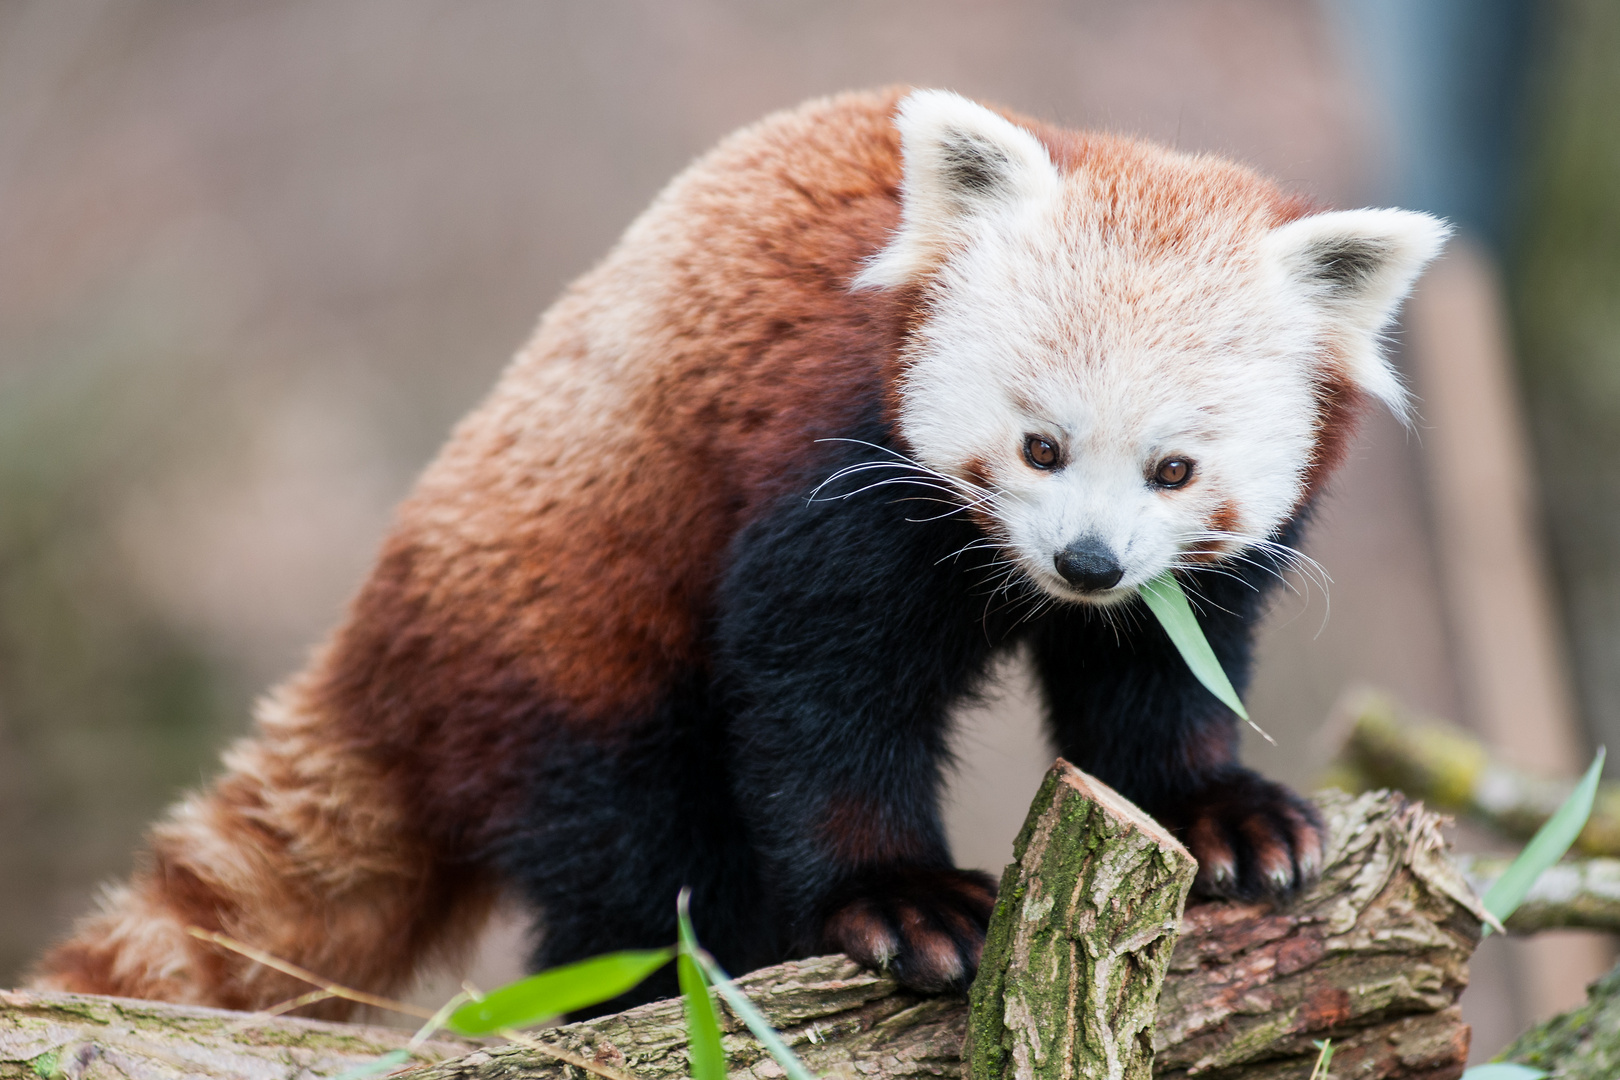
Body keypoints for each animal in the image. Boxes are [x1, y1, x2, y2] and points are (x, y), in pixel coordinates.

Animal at [28, 84, 1445, 1016]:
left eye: (1173, 470)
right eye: (1039, 446)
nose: (1087, 564)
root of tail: (386, 617)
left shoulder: (1194, 578)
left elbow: (1157, 677)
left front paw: (1218, 814)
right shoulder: (829, 468)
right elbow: (820, 696)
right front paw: (899, 901)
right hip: (572, 641)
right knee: (632, 854)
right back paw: (697, 973)